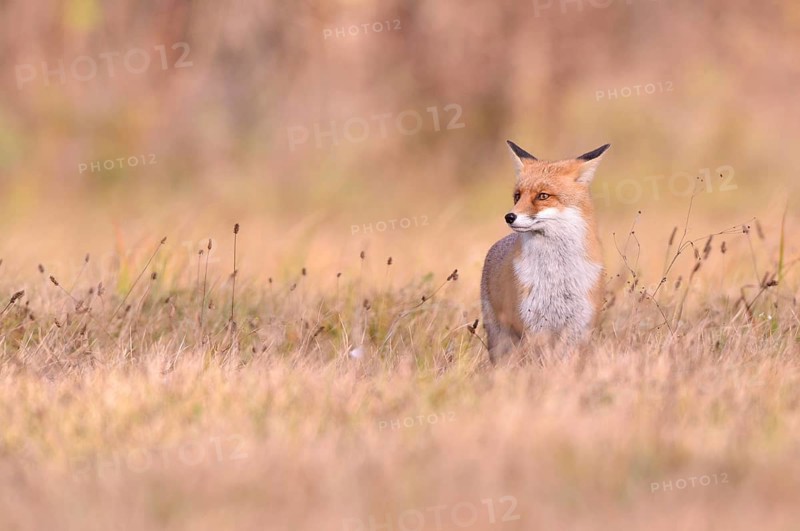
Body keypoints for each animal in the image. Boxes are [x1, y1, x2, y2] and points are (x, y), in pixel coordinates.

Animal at [480, 140, 610, 362]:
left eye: (543, 196)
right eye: (517, 196)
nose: (509, 217)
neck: (556, 276)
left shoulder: (579, 326)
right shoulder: (533, 325)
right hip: (501, 338)